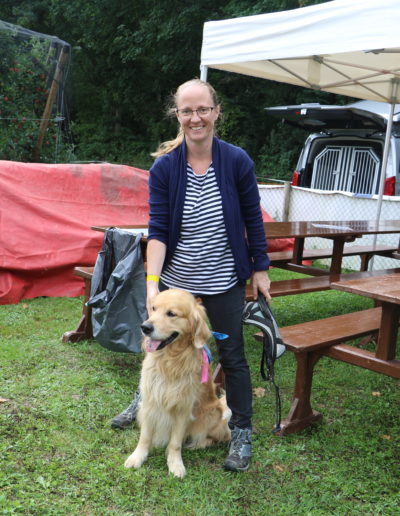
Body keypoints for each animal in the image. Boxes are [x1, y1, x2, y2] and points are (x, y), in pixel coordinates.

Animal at [124, 288, 231, 478]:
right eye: (154, 308)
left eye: (171, 314)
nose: (145, 327)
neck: (170, 361)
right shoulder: (149, 402)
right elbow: (145, 437)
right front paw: (137, 457)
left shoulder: (183, 408)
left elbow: (175, 443)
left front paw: (175, 463)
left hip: (213, 414)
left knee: (215, 438)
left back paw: (196, 444)